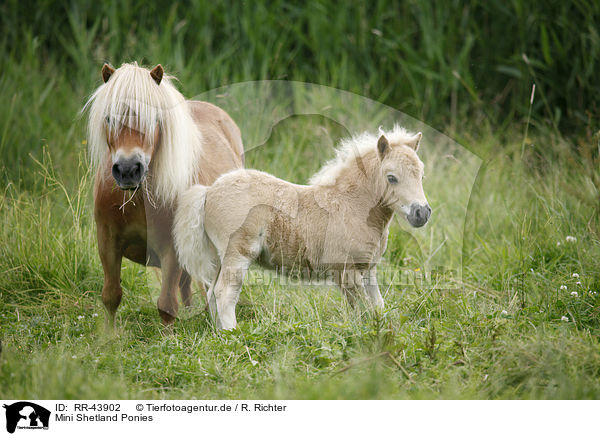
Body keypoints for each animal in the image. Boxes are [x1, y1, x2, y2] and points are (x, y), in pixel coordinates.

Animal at [84, 63, 244, 326]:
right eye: (109, 118)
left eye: (154, 119)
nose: (128, 170)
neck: (137, 201)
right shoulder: (107, 240)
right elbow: (111, 296)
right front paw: (107, 334)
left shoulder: (172, 248)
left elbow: (166, 303)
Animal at [173, 124, 432, 328]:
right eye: (391, 178)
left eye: (421, 175)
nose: (422, 212)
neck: (351, 205)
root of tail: (208, 191)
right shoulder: (345, 272)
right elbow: (364, 310)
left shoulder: (368, 270)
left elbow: (377, 306)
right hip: (237, 253)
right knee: (224, 293)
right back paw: (232, 335)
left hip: (220, 256)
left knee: (211, 293)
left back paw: (219, 334)